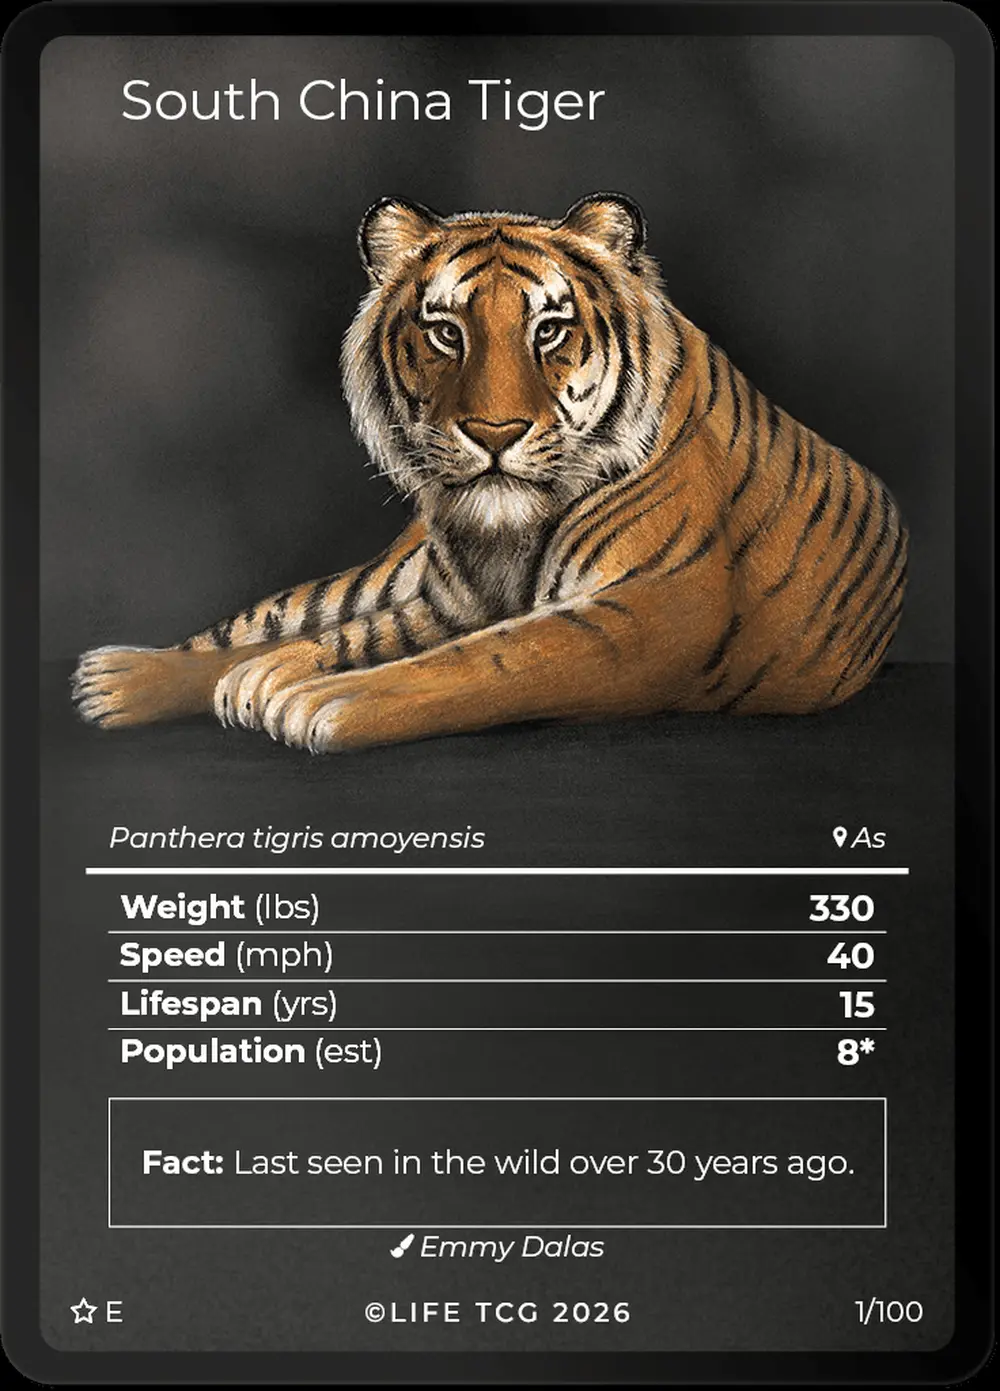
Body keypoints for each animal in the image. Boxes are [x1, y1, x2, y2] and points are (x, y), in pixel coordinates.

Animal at [72, 193, 909, 754]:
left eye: (551, 329)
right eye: (446, 331)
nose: (495, 433)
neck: (506, 537)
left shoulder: (645, 615)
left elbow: (481, 662)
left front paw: (312, 702)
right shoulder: (447, 601)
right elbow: (343, 637)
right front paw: (262, 678)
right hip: (384, 573)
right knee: (271, 619)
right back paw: (113, 678)